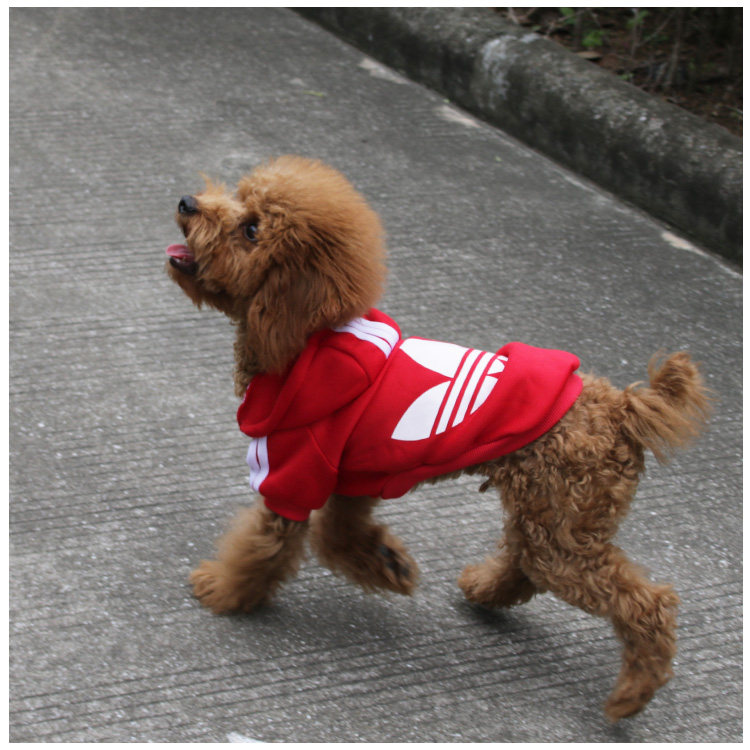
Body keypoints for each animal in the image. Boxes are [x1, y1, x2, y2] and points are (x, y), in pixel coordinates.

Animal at [165, 155, 709, 721]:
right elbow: (339, 536)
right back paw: (485, 590)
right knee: (524, 562)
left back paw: (631, 694)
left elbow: (263, 547)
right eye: (238, 196)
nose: (187, 203)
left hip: (563, 530)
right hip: (548, 513)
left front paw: (224, 591)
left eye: (252, 230)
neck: (302, 342)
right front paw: (388, 566)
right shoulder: (355, 476)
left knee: (645, 605)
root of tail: (622, 408)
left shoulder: (294, 473)